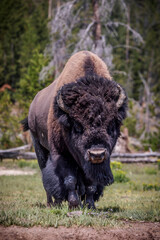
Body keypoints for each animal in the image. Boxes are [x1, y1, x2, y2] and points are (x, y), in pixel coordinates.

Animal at [21, 50, 127, 208]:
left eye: (111, 124)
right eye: (77, 125)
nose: (97, 154)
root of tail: (33, 105)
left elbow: (90, 183)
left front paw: (89, 205)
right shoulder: (62, 153)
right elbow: (69, 179)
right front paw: (74, 204)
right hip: (39, 146)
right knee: (45, 175)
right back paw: (52, 203)